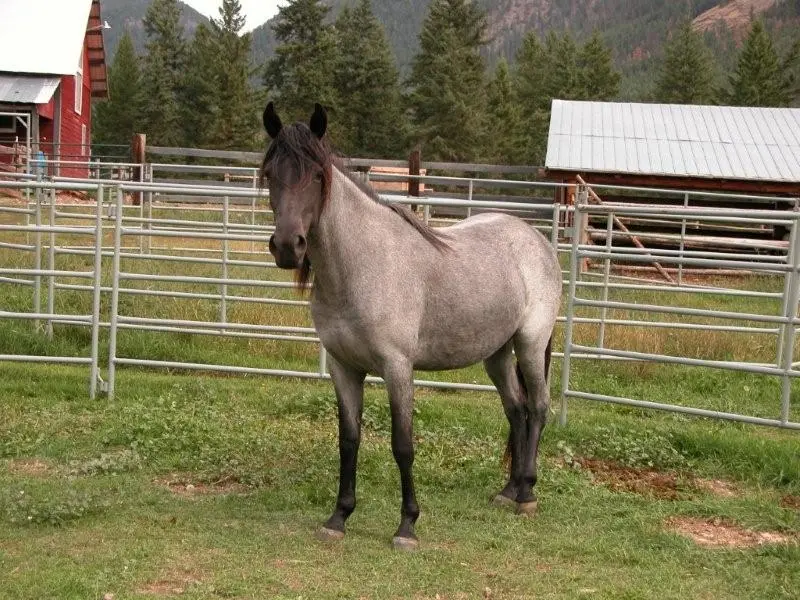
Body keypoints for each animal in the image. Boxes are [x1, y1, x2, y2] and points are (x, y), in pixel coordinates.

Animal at [262, 102, 564, 548]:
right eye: (270, 174)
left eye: (317, 176)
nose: (287, 246)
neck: (361, 265)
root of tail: (536, 239)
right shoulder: (342, 367)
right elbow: (348, 440)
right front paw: (339, 517)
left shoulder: (397, 368)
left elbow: (403, 444)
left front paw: (407, 526)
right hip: (496, 353)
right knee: (517, 409)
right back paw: (508, 491)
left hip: (530, 343)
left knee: (539, 406)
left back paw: (526, 493)